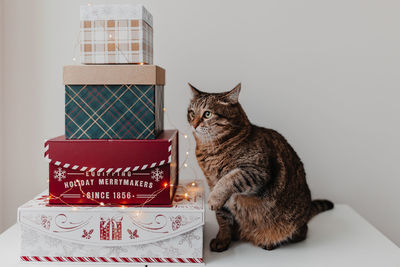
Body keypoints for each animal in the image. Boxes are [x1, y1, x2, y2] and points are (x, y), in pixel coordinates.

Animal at [188, 83, 334, 251]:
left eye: (207, 114)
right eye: (192, 113)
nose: (194, 124)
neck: (211, 151)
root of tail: (307, 210)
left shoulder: (257, 173)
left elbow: (229, 179)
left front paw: (213, 199)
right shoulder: (212, 183)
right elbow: (223, 218)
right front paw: (222, 239)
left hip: (293, 223)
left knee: (302, 232)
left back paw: (269, 242)